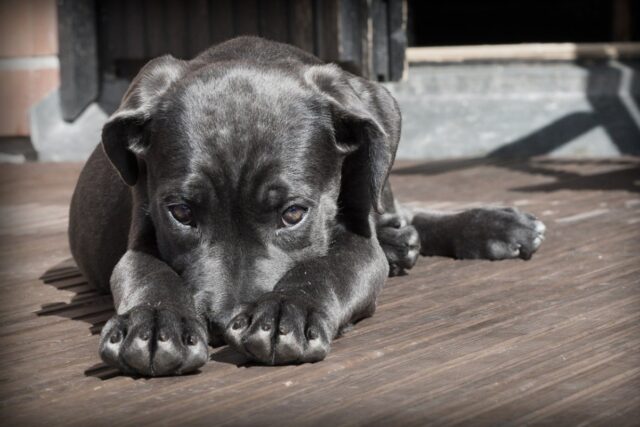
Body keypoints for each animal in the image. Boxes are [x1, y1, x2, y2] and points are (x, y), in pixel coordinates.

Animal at [69, 37, 544, 378]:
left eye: (293, 214)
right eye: (181, 213)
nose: (222, 324)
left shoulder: (358, 241)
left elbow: (327, 266)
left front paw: (286, 311)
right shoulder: (140, 234)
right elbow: (147, 272)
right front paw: (153, 323)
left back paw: (492, 226)